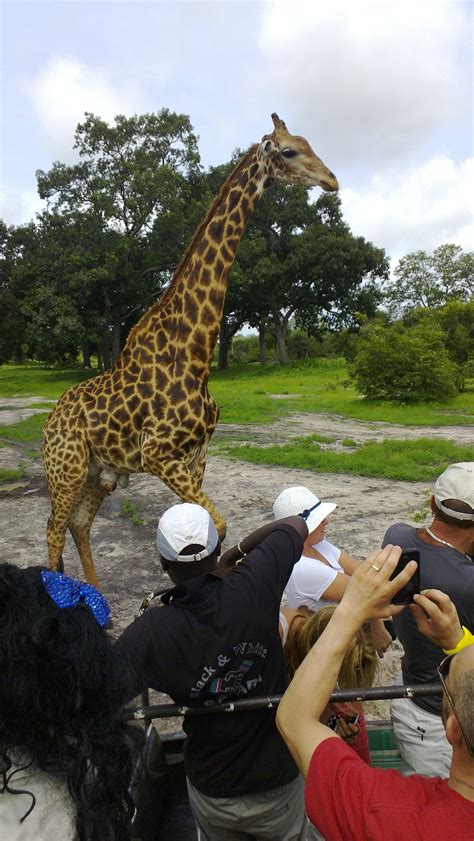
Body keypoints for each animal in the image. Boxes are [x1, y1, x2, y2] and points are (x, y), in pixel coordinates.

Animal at [43, 113, 336, 584]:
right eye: (290, 151)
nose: (332, 180)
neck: (195, 355)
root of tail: (50, 419)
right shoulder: (159, 455)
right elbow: (211, 527)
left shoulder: (196, 456)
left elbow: (210, 529)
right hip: (64, 466)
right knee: (54, 527)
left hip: (96, 472)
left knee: (78, 523)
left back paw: (98, 597)